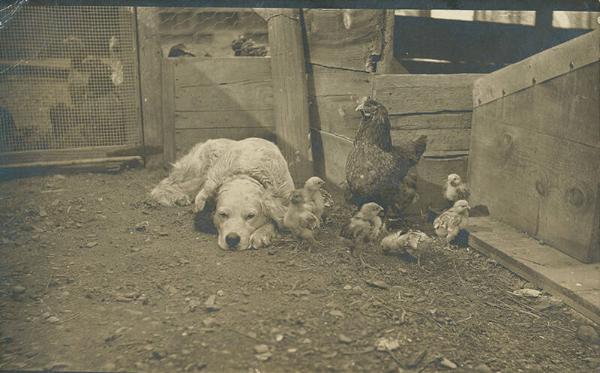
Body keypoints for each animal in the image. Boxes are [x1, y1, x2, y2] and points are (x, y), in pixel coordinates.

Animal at [151, 137, 294, 250]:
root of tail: (210, 140)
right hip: (197, 174)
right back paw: (175, 197)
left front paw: (262, 234)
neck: (245, 173)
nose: (232, 239)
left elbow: (276, 220)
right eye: (223, 214)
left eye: (250, 216)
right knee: (165, 185)